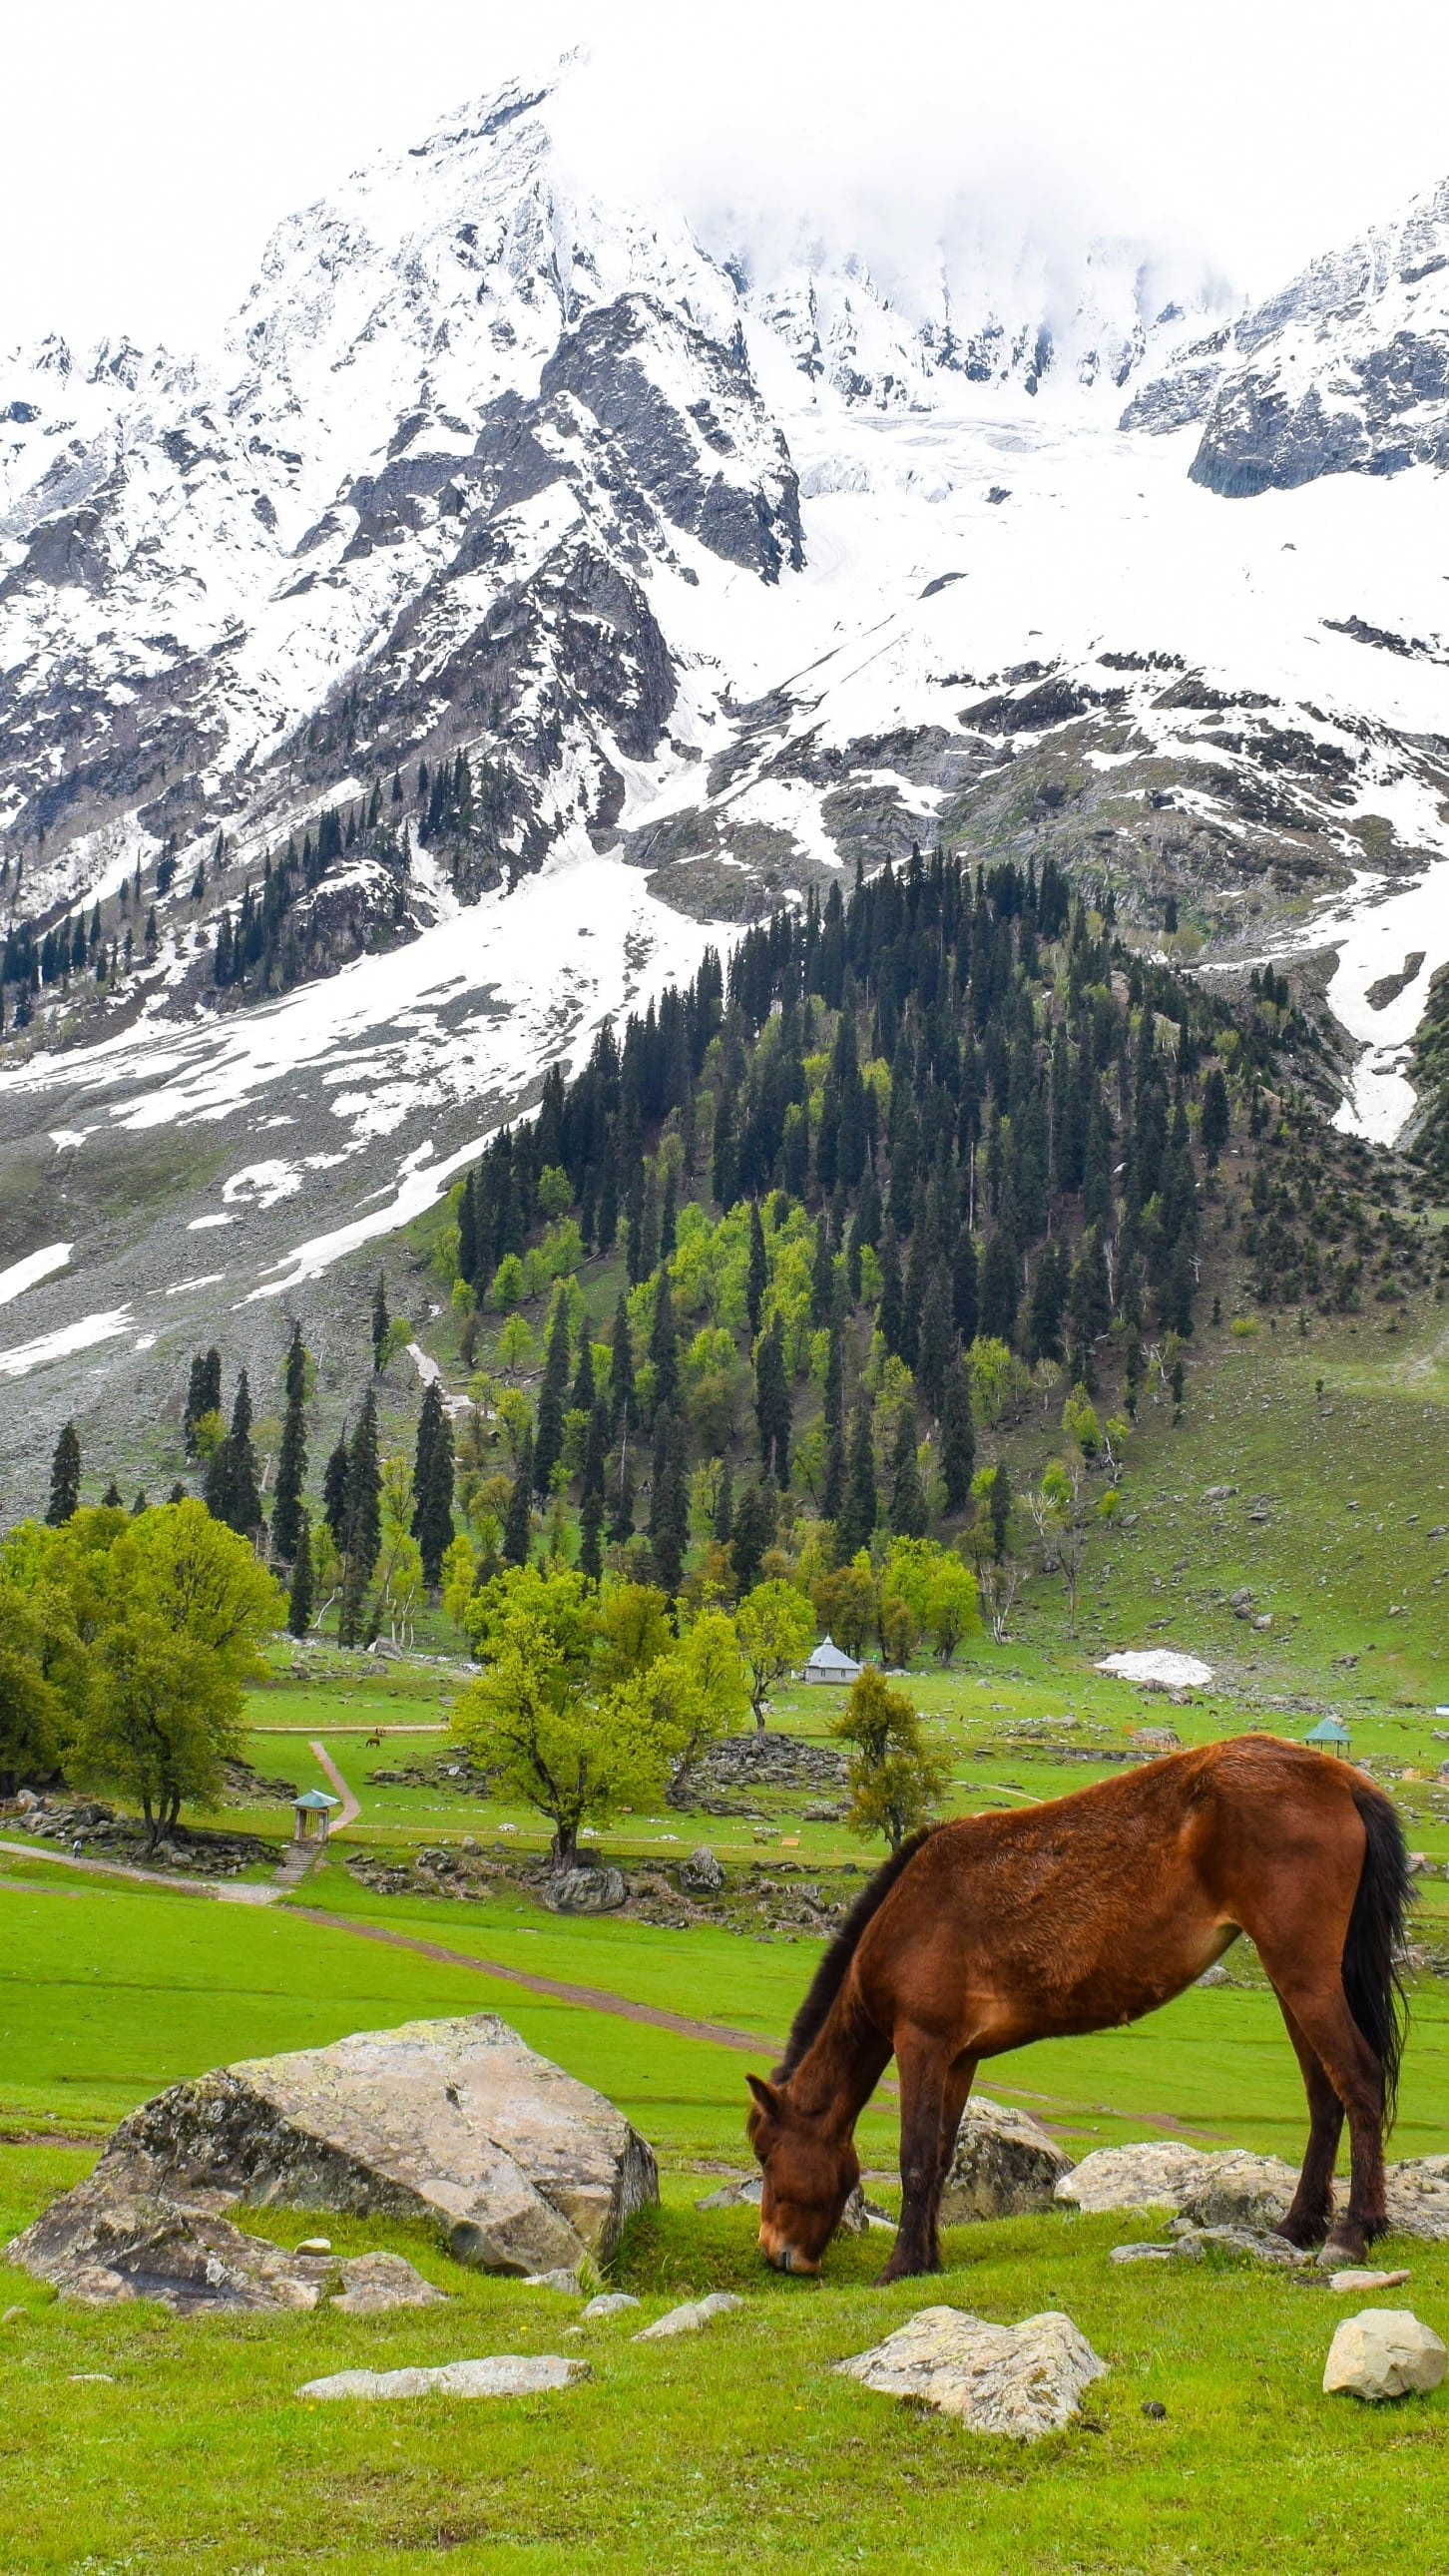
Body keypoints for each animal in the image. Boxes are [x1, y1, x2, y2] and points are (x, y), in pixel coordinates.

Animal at [746, 1736, 1411, 2280]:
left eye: (763, 2152)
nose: (776, 2253)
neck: (908, 1913)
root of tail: (1342, 1780)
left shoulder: (921, 2043)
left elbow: (914, 2158)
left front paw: (901, 2265)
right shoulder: (958, 2059)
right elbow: (939, 2158)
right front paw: (928, 2258)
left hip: (1302, 1973)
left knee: (1358, 2076)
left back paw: (1354, 2232)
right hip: (1291, 1980)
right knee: (1325, 2095)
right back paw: (1299, 2225)